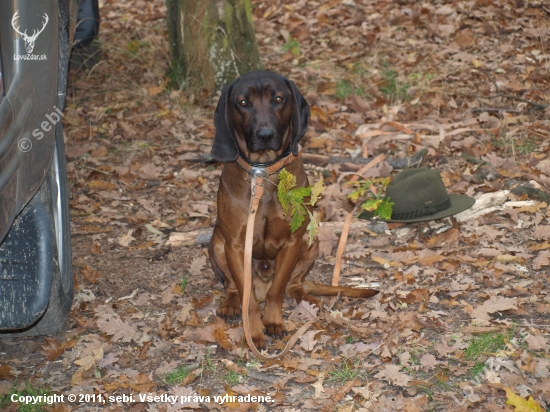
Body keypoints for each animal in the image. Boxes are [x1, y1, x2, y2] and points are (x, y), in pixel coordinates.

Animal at [209, 71, 378, 348]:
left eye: (278, 99)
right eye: (243, 103)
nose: (265, 135)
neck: (263, 172)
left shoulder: (292, 241)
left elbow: (278, 289)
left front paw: (273, 321)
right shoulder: (235, 245)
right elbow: (248, 300)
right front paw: (253, 331)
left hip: (312, 241)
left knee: (293, 285)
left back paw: (307, 299)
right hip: (216, 243)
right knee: (233, 286)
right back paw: (231, 304)